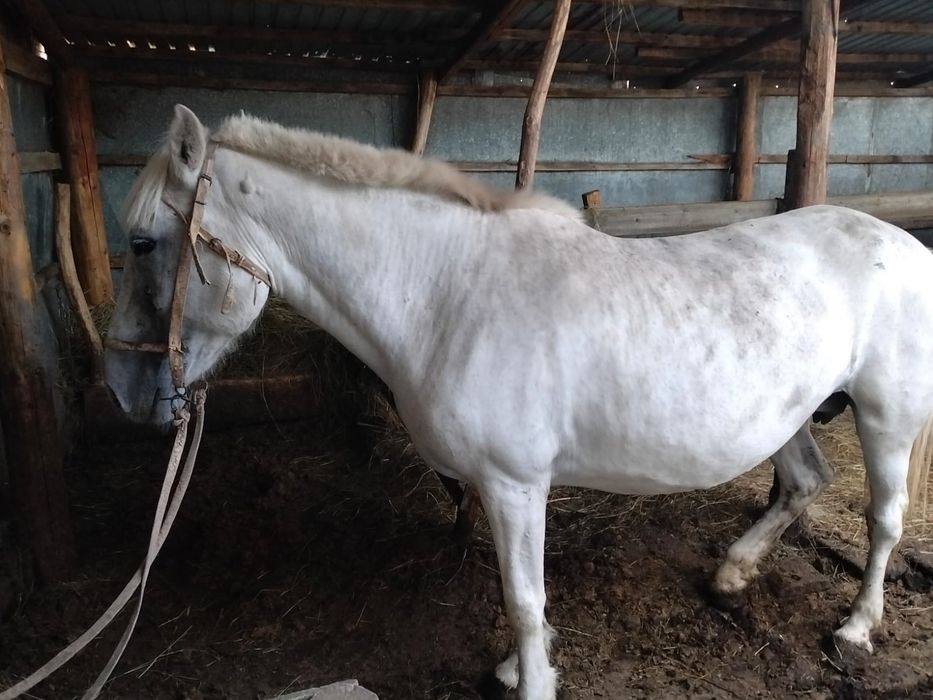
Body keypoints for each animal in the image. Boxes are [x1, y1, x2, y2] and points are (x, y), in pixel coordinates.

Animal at [105, 105, 933, 700]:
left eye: (143, 243)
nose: (122, 389)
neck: (446, 292)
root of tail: (902, 243)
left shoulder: (513, 484)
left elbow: (523, 598)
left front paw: (528, 680)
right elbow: (520, 594)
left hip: (884, 416)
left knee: (883, 519)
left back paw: (855, 631)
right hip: (789, 416)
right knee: (804, 483)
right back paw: (731, 575)